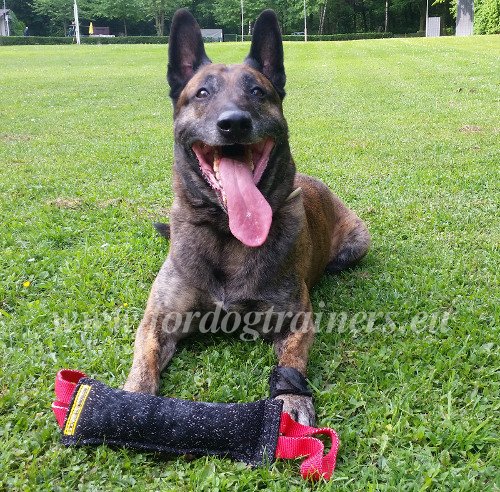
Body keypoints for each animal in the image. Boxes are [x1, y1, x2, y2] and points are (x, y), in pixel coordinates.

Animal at [123, 8, 370, 426]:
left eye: (257, 91)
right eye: (202, 93)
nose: (233, 122)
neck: (227, 234)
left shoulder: (294, 321)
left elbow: (291, 363)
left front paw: (291, 398)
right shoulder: (158, 321)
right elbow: (144, 363)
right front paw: (130, 399)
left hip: (359, 240)